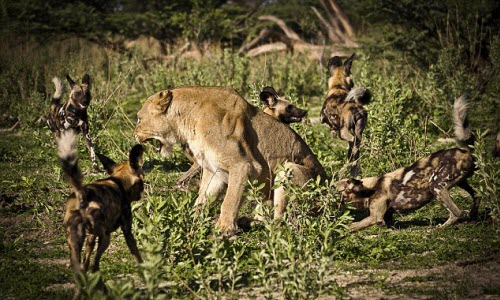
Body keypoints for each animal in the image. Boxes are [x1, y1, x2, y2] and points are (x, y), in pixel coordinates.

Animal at [58, 130, 146, 278]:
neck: (118, 181)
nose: (142, 192)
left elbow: (86, 260)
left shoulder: (91, 236)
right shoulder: (127, 230)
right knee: (95, 265)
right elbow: (136, 252)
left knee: (79, 267)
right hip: (105, 237)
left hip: (75, 240)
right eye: (142, 181)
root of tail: (82, 195)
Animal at [336, 95, 476, 231]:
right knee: (476, 196)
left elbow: (353, 226)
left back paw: (441, 227)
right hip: (460, 183)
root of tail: (466, 151)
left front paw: (343, 229)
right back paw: (473, 215)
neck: (370, 188)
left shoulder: (376, 217)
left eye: (338, 190)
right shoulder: (385, 217)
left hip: (436, 186)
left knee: (457, 213)